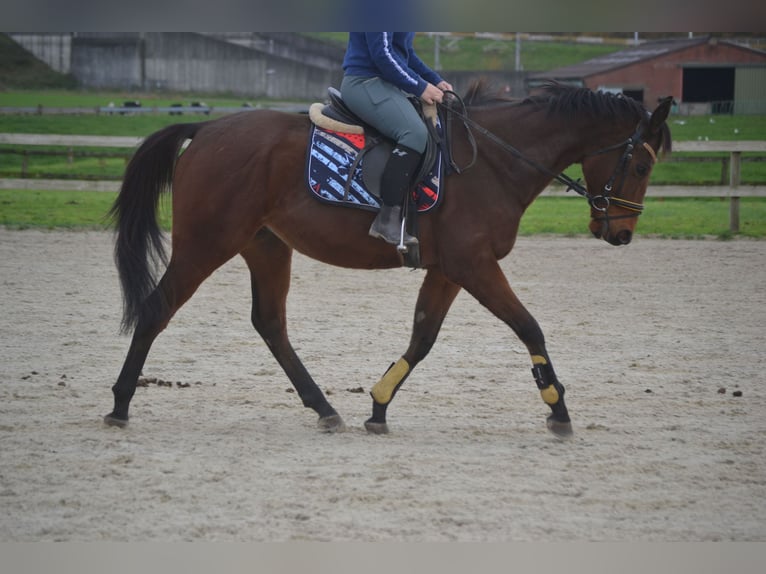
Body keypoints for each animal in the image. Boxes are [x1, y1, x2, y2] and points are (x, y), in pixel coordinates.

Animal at [103, 81, 672, 436]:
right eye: (642, 165)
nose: (621, 233)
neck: (493, 160)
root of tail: (208, 129)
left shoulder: (449, 270)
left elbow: (422, 337)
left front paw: (378, 405)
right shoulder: (474, 265)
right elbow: (529, 326)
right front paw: (557, 407)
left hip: (265, 245)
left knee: (270, 323)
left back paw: (324, 407)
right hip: (207, 243)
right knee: (157, 309)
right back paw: (120, 403)